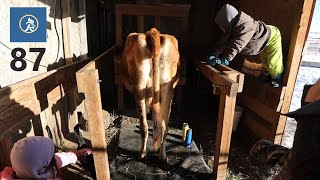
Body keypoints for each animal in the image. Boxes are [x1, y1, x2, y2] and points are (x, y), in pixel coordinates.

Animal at [119, 28, 180, 162]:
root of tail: (153, 32)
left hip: (139, 85)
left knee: (144, 125)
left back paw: (142, 154)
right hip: (167, 89)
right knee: (163, 126)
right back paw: (162, 156)